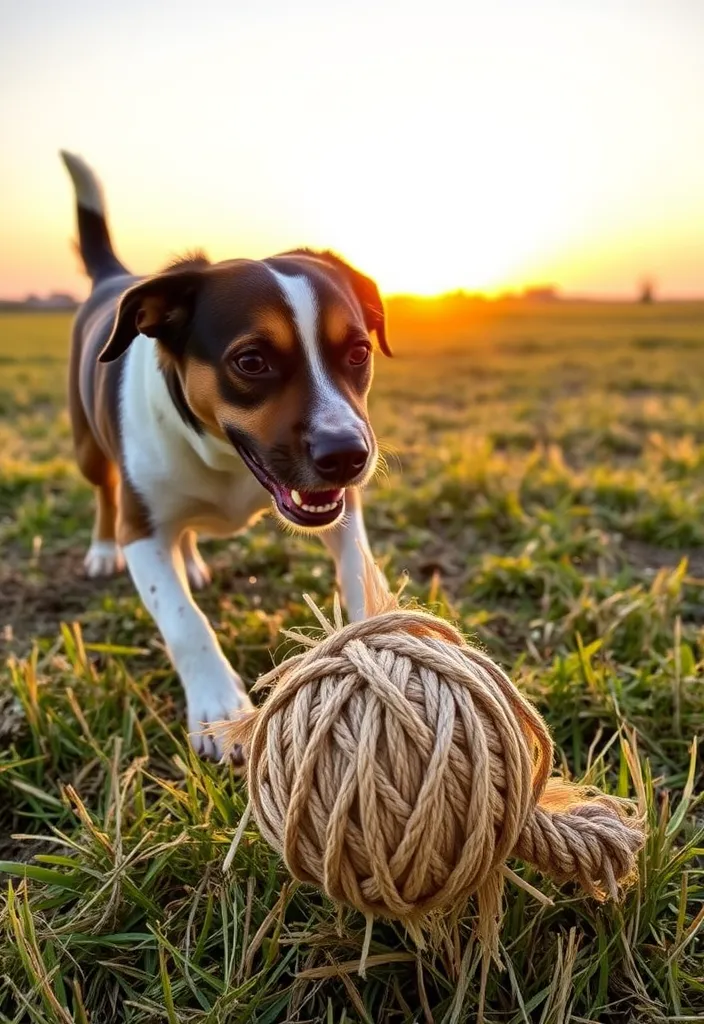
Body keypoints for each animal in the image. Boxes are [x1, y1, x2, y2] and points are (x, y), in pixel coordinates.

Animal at [60, 149, 390, 761]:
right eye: (251, 361)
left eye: (358, 351)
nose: (346, 455)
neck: (224, 458)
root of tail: (114, 277)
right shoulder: (142, 530)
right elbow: (183, 619)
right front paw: (218, 706)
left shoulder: (342, 508)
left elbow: (359, 570)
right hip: (88, 448)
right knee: (103, 493)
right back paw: (100, 549)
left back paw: (191, 559)